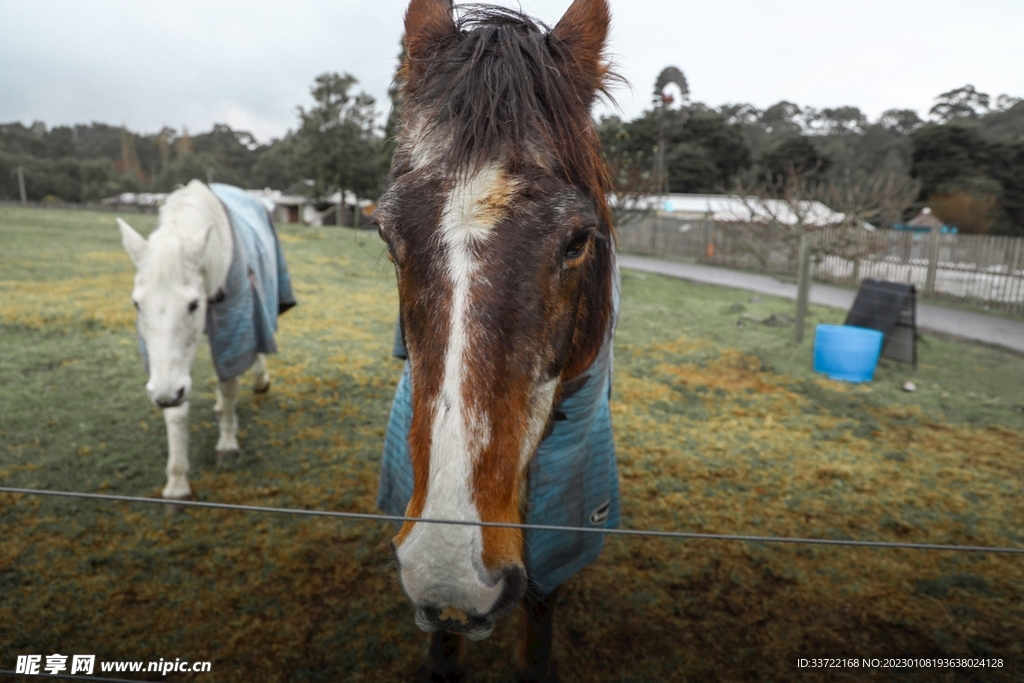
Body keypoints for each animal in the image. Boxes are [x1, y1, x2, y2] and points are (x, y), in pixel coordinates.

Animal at [117, 180, 295, 503]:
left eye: (193, 304)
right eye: (137, 304)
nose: (164, 395)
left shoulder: (235, 325)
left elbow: (230, 381)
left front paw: (227, 443)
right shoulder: (168, 370)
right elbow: (178, 411)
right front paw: (177, 482)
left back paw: (259, 382)